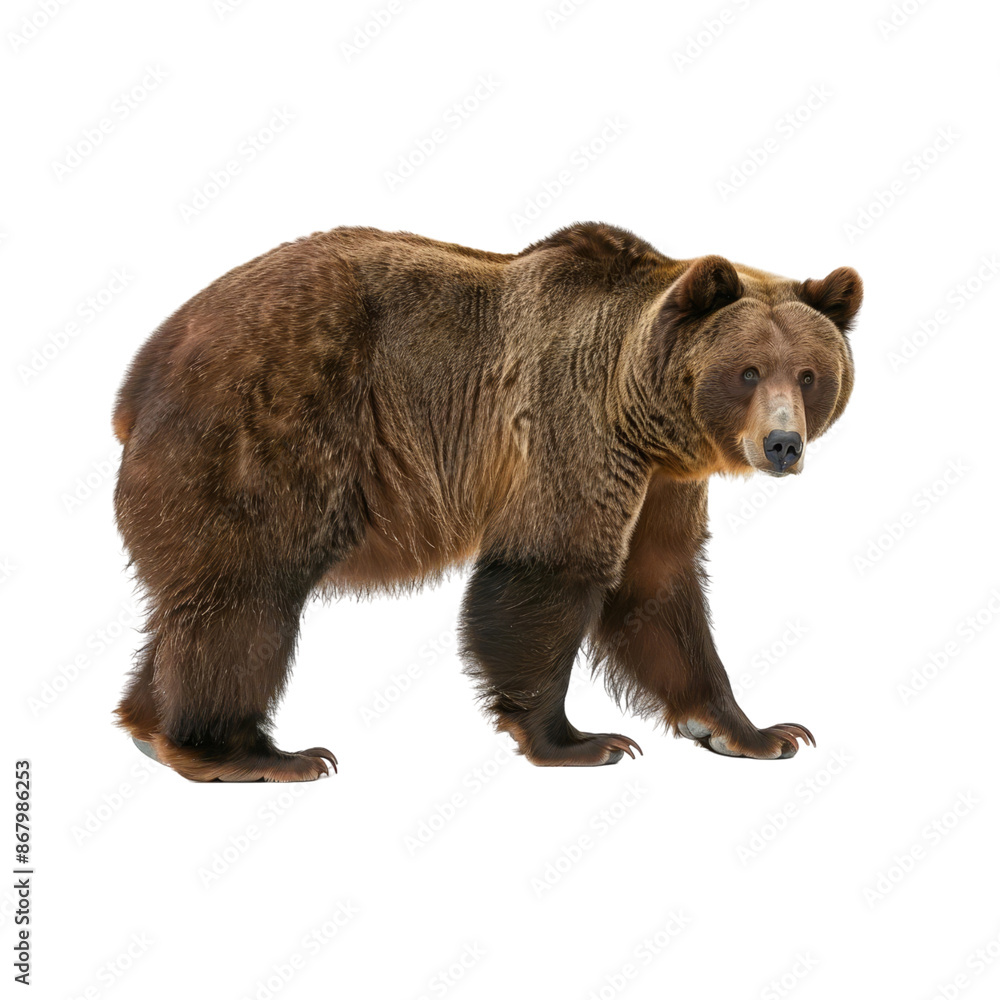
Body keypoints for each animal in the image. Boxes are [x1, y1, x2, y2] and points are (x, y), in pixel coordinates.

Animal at [111, 222, 862, 781]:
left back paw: (148, 724)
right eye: (747, 372)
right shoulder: (573, 425)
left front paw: (760, 731)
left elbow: (660, 585)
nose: (782, 444)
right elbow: (550, 567)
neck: (643, 411)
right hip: (267, 424)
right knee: (249, 587)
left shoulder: (666, 480)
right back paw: (253, 752)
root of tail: (141, 370)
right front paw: (580, 740)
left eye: (809, 374)